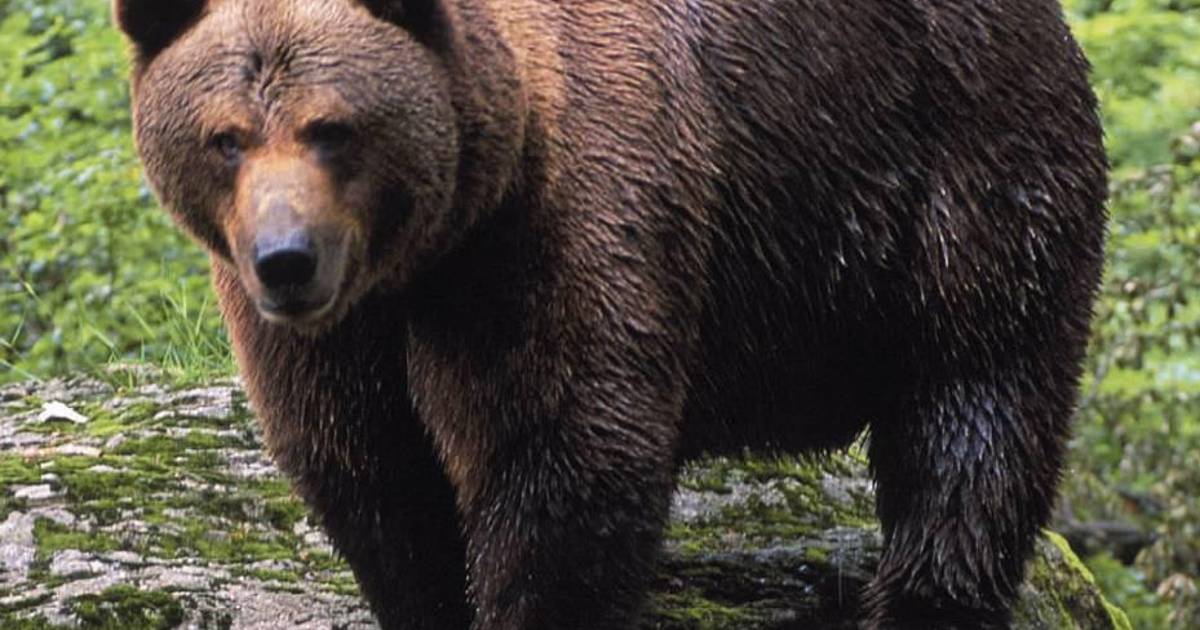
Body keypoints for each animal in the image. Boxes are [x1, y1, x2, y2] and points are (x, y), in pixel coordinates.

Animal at [114, 0, 1108, 628]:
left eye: (332, 127)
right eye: (225, 136)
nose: (287, 260)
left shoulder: (560, 229)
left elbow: (563, 456)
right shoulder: (336, 334)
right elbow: (368, 466)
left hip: (958, 164)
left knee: (974, 400)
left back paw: (927, 600)